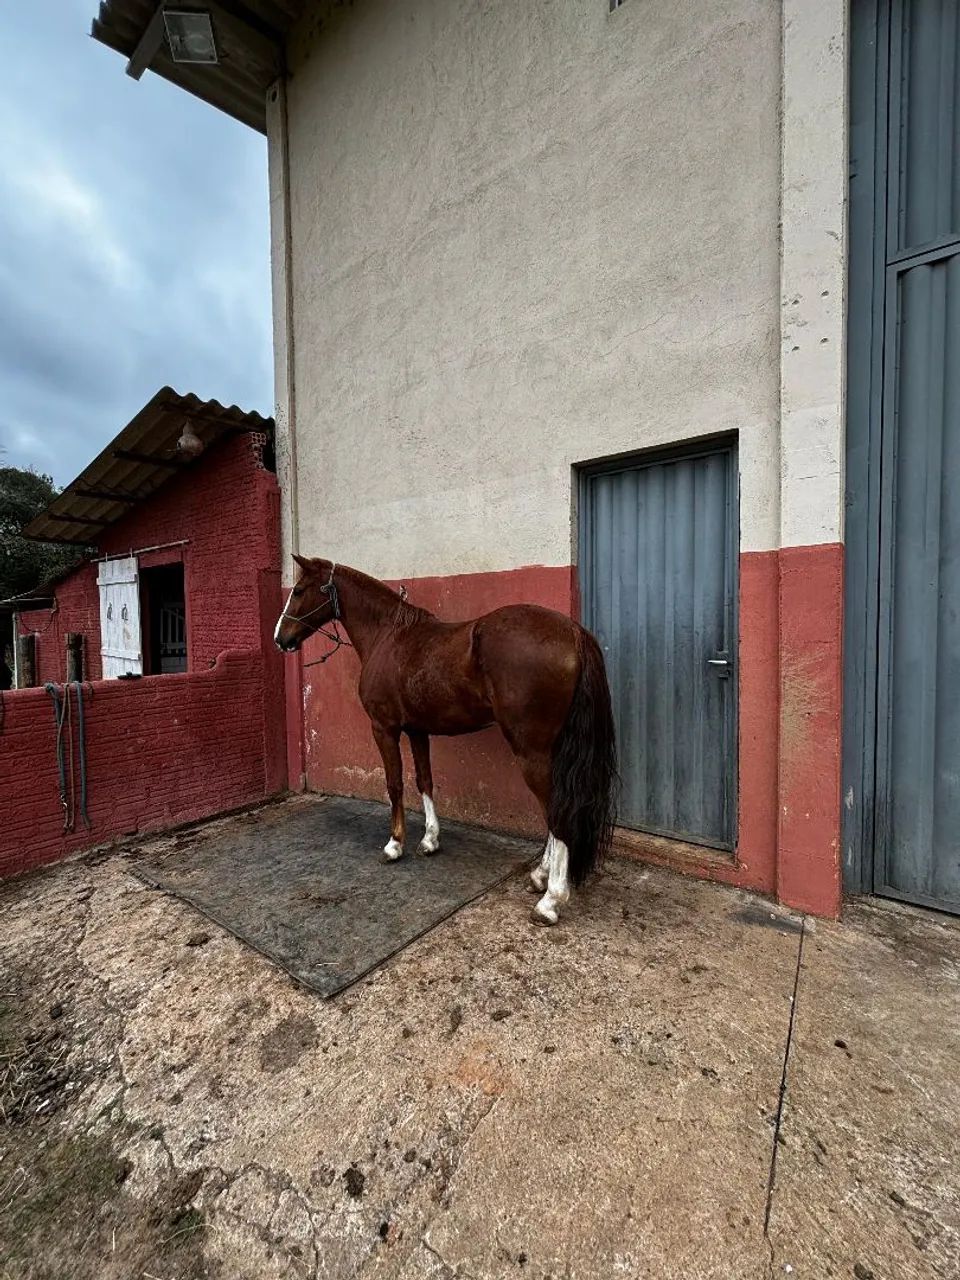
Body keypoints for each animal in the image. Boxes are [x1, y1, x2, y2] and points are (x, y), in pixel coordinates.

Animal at [274, 557, 616, 925]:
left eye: (298, 590)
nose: (280, 639)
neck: (389, 637)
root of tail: (572, 632)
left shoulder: (384, 728)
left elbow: (394, 784)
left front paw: (395, 845)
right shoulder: (417, 730)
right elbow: (424, 781)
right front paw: (430, 840)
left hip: (532, 752)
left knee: (557, 813)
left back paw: (550, 900)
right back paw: (540, 875)